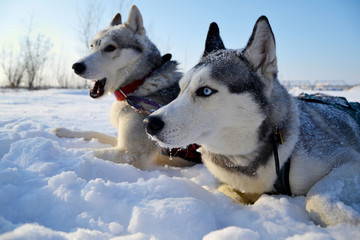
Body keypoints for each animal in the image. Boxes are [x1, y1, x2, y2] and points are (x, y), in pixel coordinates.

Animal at [53, 4, 200, 169]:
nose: (76, 66)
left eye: (110, 47)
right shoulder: (121, 141)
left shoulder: (131, 153)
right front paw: (64, 131)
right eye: (92, 46)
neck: (138, 84)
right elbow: (93, 133)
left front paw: (60, 153)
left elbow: (87, 152)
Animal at [145, 17, 360, 227]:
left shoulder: (348, 161)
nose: (149, 123)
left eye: (205, 91)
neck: (246, 160)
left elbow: (316, 199)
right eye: (181, 90)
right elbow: (227, 191)